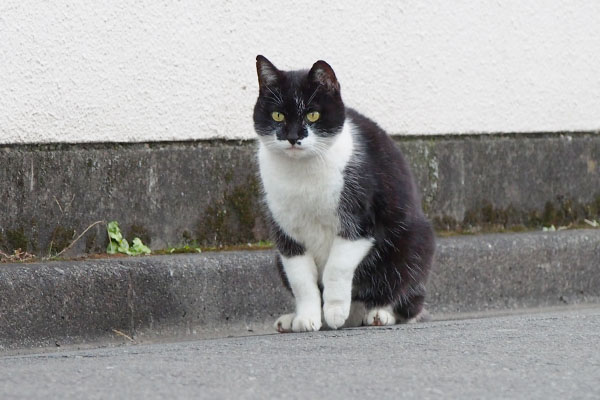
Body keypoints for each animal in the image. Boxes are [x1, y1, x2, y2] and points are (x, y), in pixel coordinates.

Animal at [253, 54, 436, 332]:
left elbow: (336, 268)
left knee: (405, 298)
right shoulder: (285, 233)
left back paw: (378, 314)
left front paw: (335, 311)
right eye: (277, 115)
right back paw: (293, 320)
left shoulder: (361, 219)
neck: (303, 174)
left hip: (414, 242)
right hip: (276, 258)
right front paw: (307, 318)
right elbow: (301, 281)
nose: (293, 137)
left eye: (313, 115)